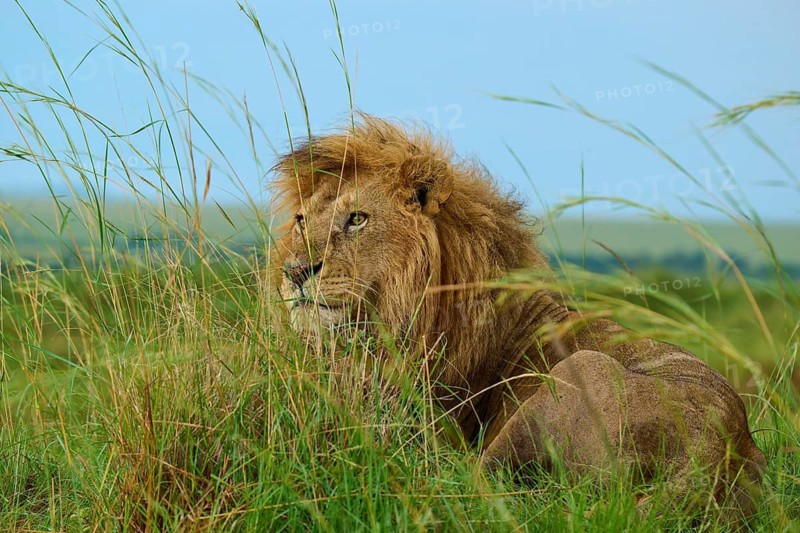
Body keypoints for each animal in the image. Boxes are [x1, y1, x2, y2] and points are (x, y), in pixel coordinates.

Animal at [272, 115, 766, 519]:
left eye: (357, 219)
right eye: (300, 220)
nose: (294, 272)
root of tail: (710, 462)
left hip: (574, 375)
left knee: (471, 483)